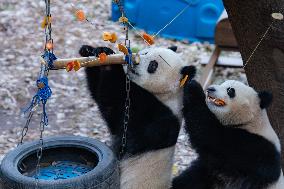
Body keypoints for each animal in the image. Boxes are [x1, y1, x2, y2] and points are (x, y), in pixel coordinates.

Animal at [79, 45, 196, 189]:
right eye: (145, 52)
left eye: (153, 65)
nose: (135, 62)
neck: (167, 94)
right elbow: (105, 104)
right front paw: (90, 51)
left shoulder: (157, 116)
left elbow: (113, 102)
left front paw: (109, 63)